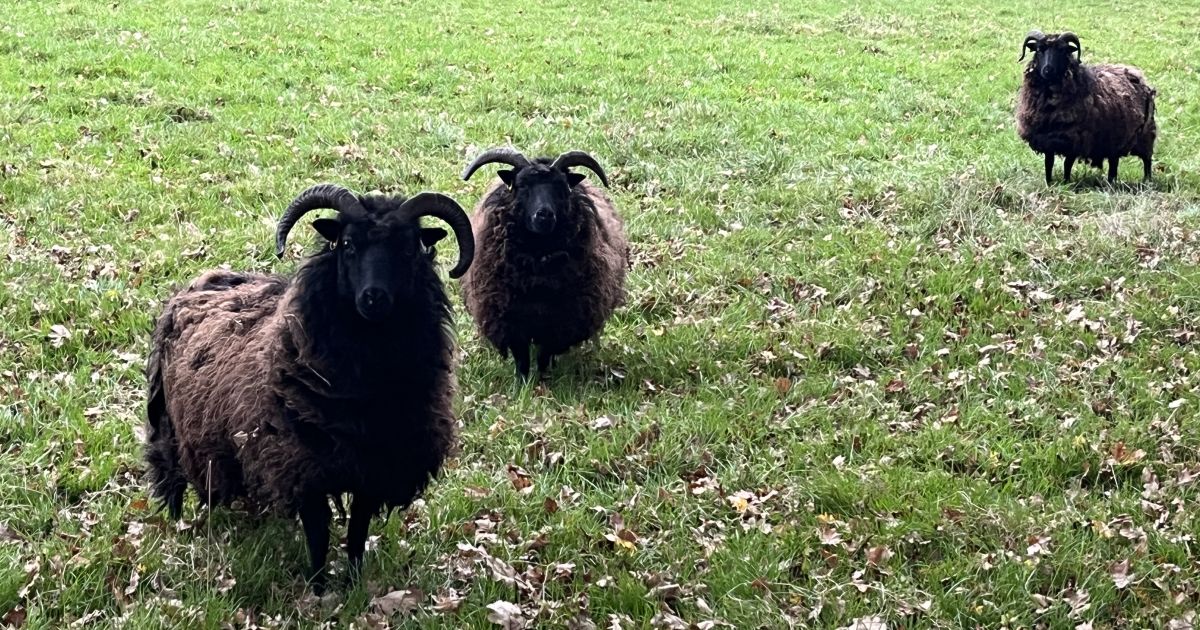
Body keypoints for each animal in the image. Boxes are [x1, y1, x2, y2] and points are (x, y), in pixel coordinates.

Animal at [143, 183, 474, 589]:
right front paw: (317, 588)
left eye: (409, 248)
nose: (374, 297)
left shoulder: (373, 467)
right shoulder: (303, 467)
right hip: (167, 423)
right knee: (169, 474)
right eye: (347, 244)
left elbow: (358, 532)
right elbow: (318, 536)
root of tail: (196, 283)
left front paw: (353, 583)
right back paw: (178, 524)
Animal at [459, 148, 629, 379]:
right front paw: (522, 381)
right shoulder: (510, 319)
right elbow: (521, 357)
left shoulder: (558, 322)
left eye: (561, 187)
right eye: (521, 185)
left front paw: (541, 379)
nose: (544, 215)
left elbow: (544, 355)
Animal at [1015, 30, 1157, 185]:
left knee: (1147, 160)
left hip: (1145, 135)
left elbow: (1067, 164)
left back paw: (1147, 181)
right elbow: (1049, 164)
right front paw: (1049, 183)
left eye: (1062, 50)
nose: (1048, 70)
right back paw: (1110, 183)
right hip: (1115, 139)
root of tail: (1138, 75)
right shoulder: (1047, 140)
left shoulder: (1075, 139)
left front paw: (1066, 183)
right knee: (1114, 163)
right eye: (1039, 50)